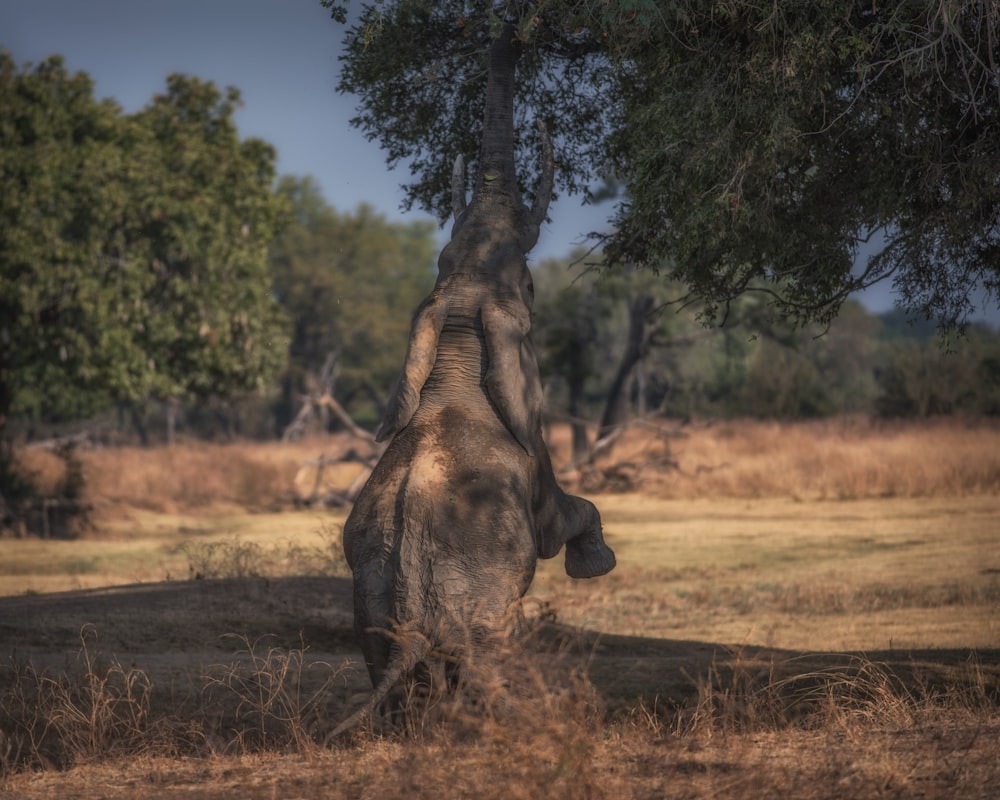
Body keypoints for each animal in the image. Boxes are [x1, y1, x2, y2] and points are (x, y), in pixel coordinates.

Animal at [332, 23, 612, 736]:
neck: (458, 313)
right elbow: (554, 519)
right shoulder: (531, 454)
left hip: (372, 607)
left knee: (397, 669)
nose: (510, 30)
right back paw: (511, 728)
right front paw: (596, 564)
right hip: (479, 597)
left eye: (442, 258)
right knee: (488, 656)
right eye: (531, 287)